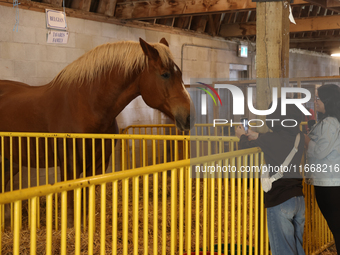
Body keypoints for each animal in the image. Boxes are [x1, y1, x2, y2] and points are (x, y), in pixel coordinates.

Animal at [0, 37, 194, 225]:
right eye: (165, 74)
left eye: (180, 74)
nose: (189, 117)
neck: (87, 106)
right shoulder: (70, 164)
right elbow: (71, 204)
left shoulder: (98, 163)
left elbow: (86, 201)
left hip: (12, 159)